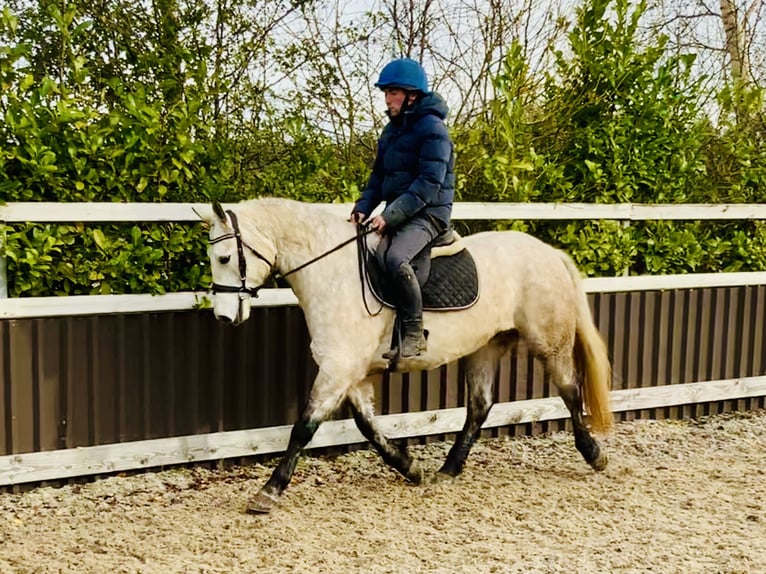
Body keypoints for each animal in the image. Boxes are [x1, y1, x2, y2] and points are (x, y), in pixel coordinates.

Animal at [202, 198, 612, 512]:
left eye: (224, 257)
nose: (223, 316)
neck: (332, 272)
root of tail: (550, 253)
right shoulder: (351, 371)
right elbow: (367, 425)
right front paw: (410, 468)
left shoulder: (338, 368)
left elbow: (304, 427)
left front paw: (269, 490)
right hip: (485, 348)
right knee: (480, 406)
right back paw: (448, 470)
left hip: (549, 342)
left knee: (570, 390)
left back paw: (594, 453)